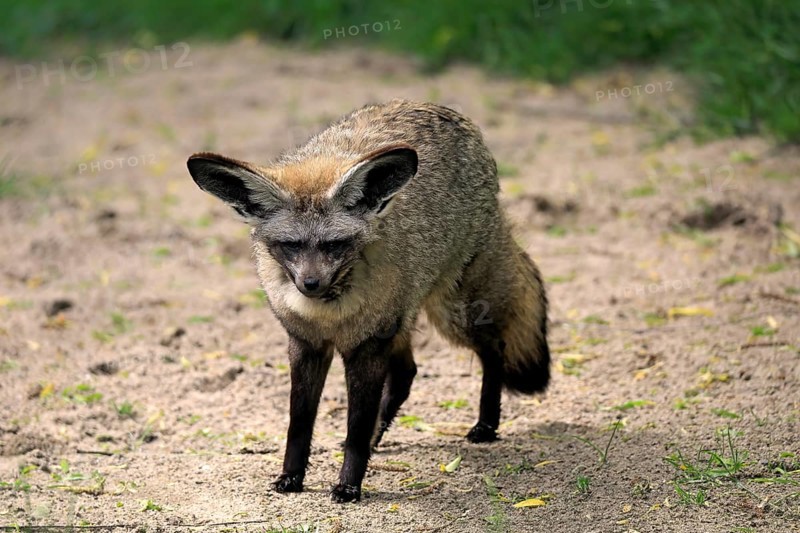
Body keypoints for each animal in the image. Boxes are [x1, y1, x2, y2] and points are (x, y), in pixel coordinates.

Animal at [186, 99, 550, 503]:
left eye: (335, 245)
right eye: (291, 245)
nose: (310, 284)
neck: (329, 314)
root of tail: (438, 109)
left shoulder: (367, 346)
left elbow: (356, 430)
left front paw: (348, 485)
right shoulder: (306, 344)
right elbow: (299, 425)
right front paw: (291, 478)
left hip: (450, 314)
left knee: (494, 348)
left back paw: (486, 425)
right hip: (403, 321)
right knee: (407, 373)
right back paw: (383, 437)